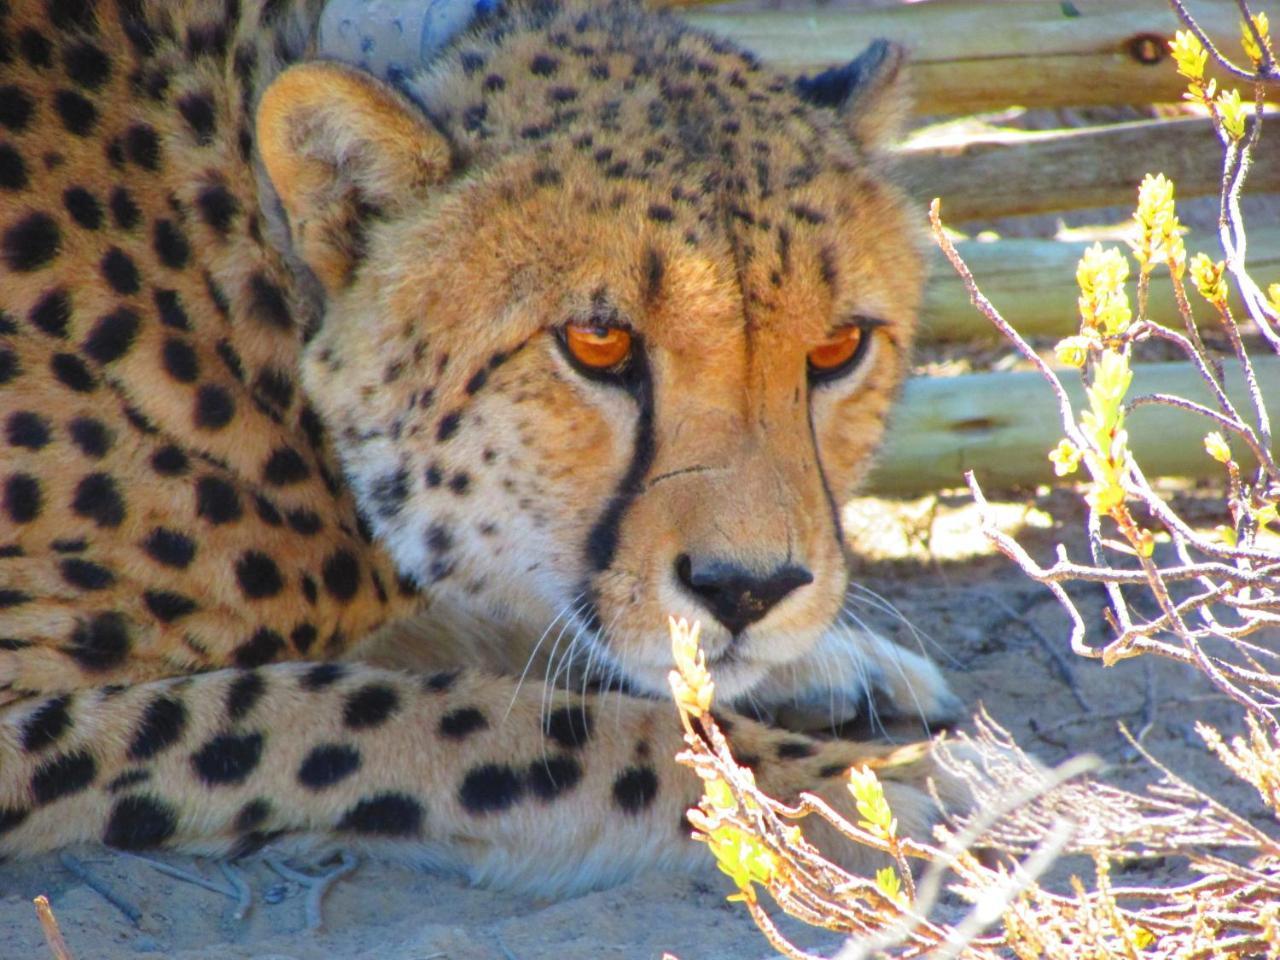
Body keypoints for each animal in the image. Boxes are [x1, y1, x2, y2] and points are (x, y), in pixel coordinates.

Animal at [0, 0, 962, 896]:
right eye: (597, 342)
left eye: (838, 348)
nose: (749, 590)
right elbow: (426, 710)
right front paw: (840, 795)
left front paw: (841, 666)